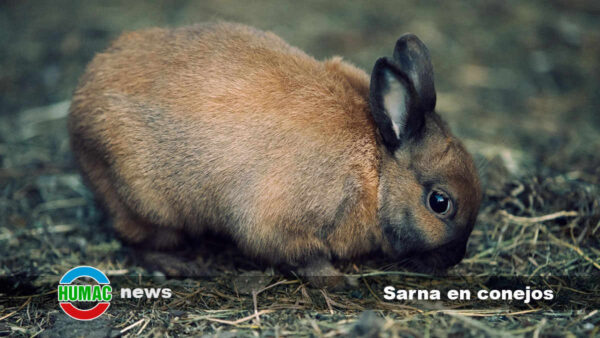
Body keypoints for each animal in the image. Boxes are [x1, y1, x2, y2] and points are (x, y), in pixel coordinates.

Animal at [69, 20, 482, 286]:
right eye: (440, 202)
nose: (455, 258)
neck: (376, 171)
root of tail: (80, 103)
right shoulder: (279, 226)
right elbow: (303, 257)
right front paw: (337, 280)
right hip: (147, 203)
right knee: (134, 242)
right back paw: (182, 266)